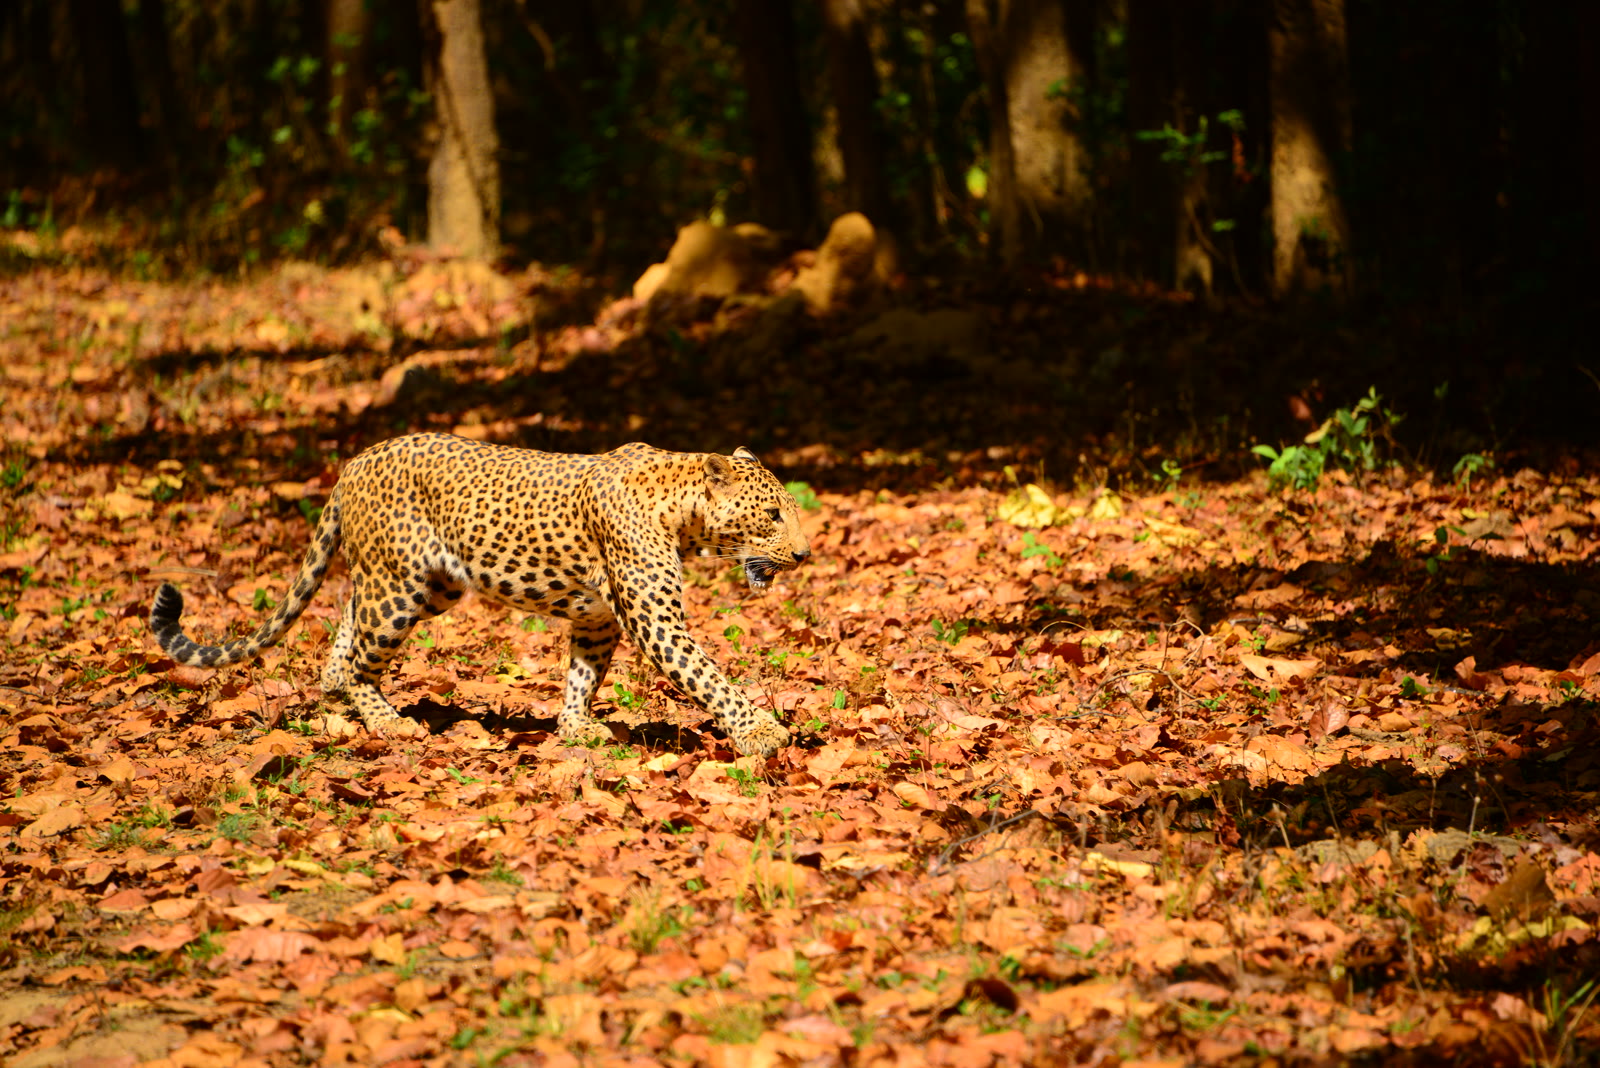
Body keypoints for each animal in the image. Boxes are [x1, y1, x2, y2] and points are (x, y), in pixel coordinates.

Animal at [148, 433, 811, 757]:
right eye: (774, 514)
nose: (805, 554)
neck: (681, 509)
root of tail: (353, 463)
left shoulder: (597, 619)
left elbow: (583, 674)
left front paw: (575, 727)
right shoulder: (656, 621)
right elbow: (708, 675)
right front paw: (760, 733)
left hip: (417, 583)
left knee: (343, 636)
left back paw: (337, 708)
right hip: (401, 589)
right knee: (362, 659)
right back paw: (388, 723)